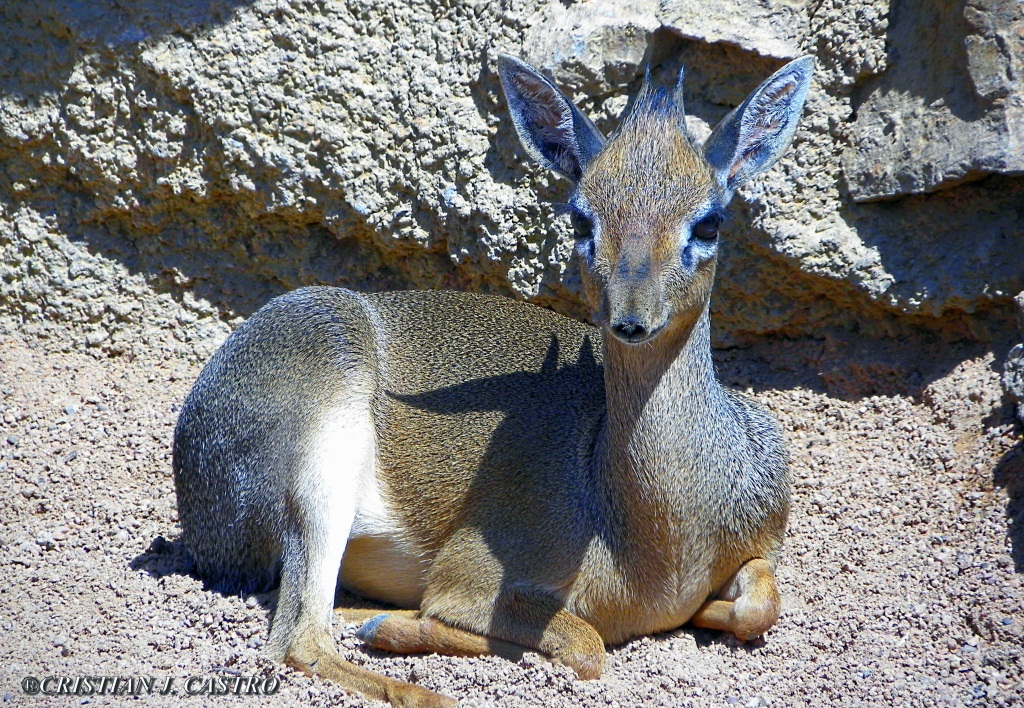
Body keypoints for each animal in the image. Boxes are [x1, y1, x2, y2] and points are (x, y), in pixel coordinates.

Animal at [174, 52, 815, 704]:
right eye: (581, 218)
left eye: (708, 223)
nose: (630, 319)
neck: (663, 539)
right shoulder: (472, 574)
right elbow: (585, 645)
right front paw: (395, 626)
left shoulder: (762, 541)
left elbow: (759, 606)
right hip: (323, 464)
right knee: (300, 638)